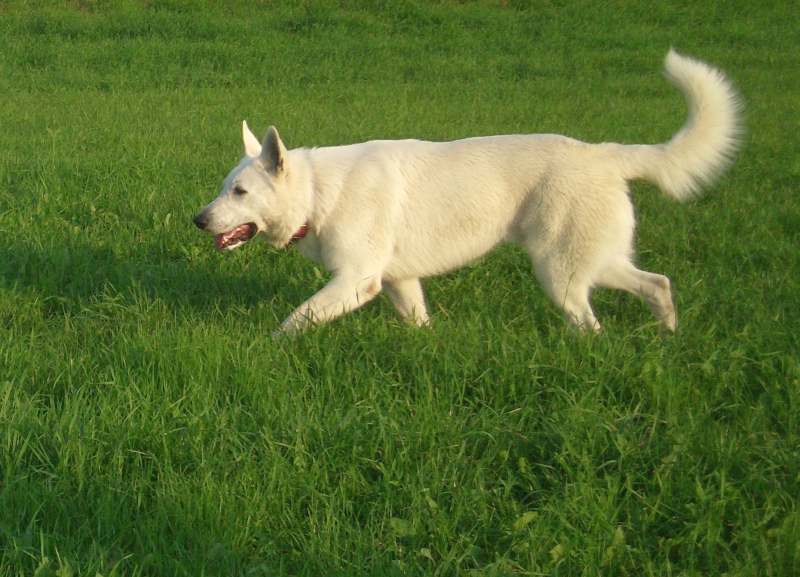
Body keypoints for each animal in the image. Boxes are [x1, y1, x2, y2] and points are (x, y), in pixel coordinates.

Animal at [195, 51, 744, 336]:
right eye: (224, 189)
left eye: (240, 192)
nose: (198, 220)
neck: (318, 192)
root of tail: (603, 154)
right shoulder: (399, 281)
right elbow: (419, 323)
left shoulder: (356, 281)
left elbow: (294, 321)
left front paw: (270, 349)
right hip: (595, 262)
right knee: (658, 284)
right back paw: (668, 334)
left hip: (559, 273)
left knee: (592, 324)